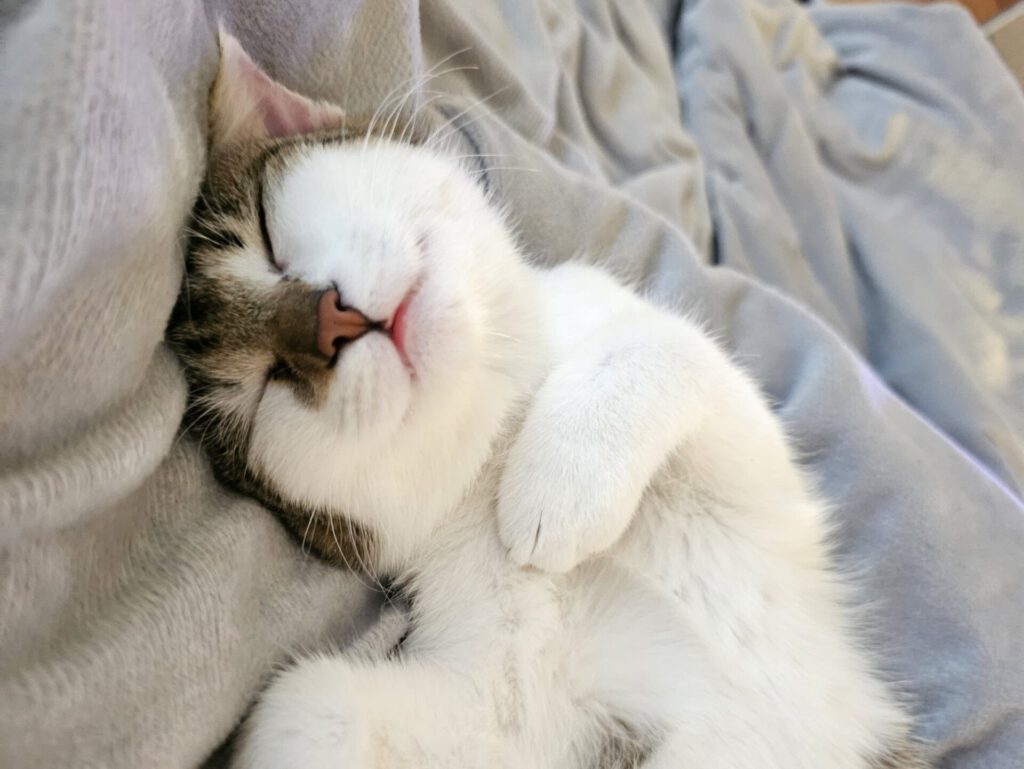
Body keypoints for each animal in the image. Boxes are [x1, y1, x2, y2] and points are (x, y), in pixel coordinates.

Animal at [168, 31, 928, 769]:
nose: (327, 324)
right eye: (259, 390)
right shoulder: (520, 705)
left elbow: (667, 343)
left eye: (267, 234)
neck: (503, 434)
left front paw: (563, 485)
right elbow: (309, 703)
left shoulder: (761, 481)